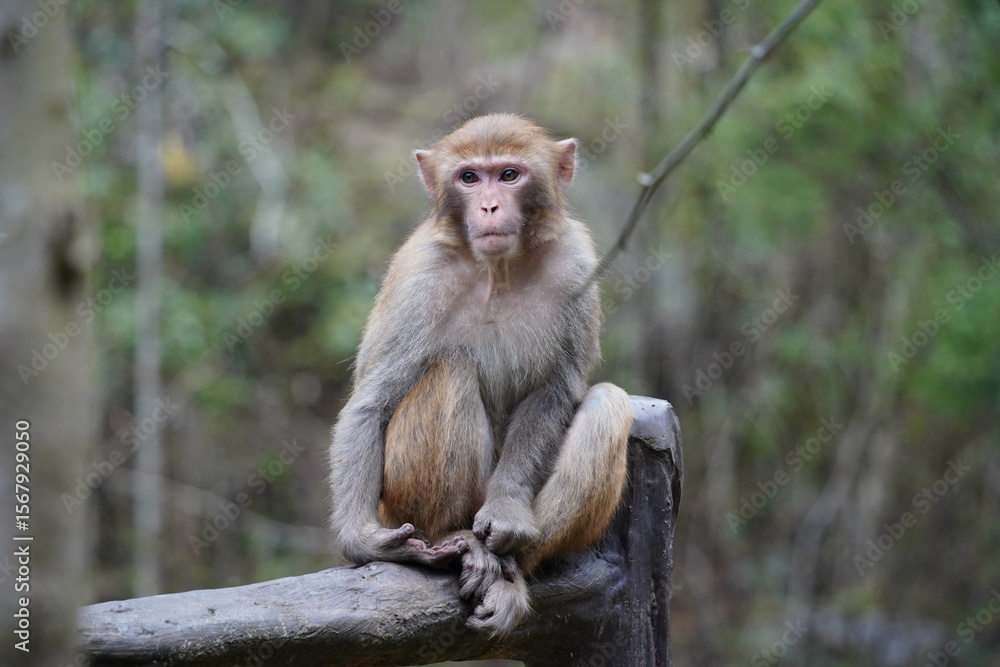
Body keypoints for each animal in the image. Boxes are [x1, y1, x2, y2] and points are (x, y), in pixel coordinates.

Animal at [328, 113, 633, 637]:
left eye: (508, 175)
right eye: (469, 178)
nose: (489, 206)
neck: (499, 269)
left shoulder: (576, 263)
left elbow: (556, 389)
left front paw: (507, 509)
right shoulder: (420, 276)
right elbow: (371, 401)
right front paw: (360, 539)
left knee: (607, 403)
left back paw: (510, 571)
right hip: (402, 502)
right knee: (451, 367)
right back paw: (457, 540)